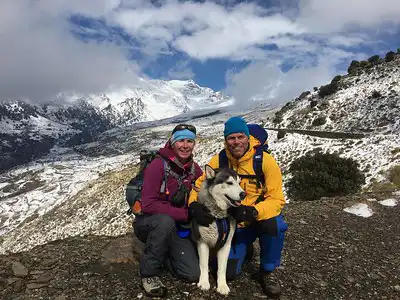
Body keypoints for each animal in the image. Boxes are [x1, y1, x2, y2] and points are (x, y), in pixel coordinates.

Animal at [191, 165, 245, 296]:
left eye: (239, 183)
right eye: (229, 183)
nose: (243, 194)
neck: (218, 218)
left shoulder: (225, 245)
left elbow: (222, 268)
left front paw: (222, 286)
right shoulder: (202, 242)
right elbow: (203, 265)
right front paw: (204, 282)